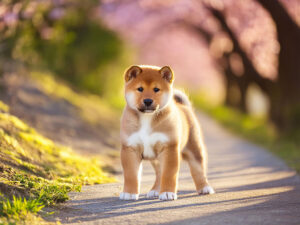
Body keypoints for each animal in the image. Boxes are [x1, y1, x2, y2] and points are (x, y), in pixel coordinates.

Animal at [118, 65, 214, 200]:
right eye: (140, 89)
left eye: (156, 89)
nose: (148, 101)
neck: (147, 118)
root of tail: (184, 106)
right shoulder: (130, 148)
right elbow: (131, 175)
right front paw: (129, 193)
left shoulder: (169, 148)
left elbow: (169, 174)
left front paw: (167, 193)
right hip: (156, 158)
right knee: (159, 173)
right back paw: (155, 190)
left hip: (194, 149)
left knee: (198, 170)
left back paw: (205, 188)